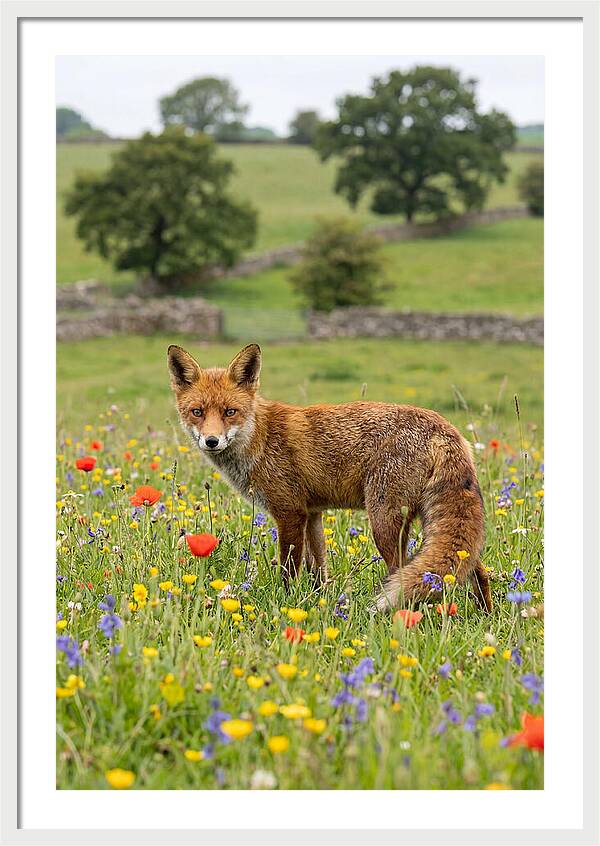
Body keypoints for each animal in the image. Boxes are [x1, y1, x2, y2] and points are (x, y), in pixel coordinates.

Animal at [167, 343, 492, 613]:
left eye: (230, 411)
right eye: (197, 412)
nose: (211, 441)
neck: (259, 438)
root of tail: (444, 428)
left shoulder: (290, 513)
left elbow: (289, 570)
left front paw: (286, 603)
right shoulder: (312, 514)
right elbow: (318, 570)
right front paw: (318, 602)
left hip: (384, 521)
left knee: (401, 572)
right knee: (476, 570)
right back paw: (484, 615)